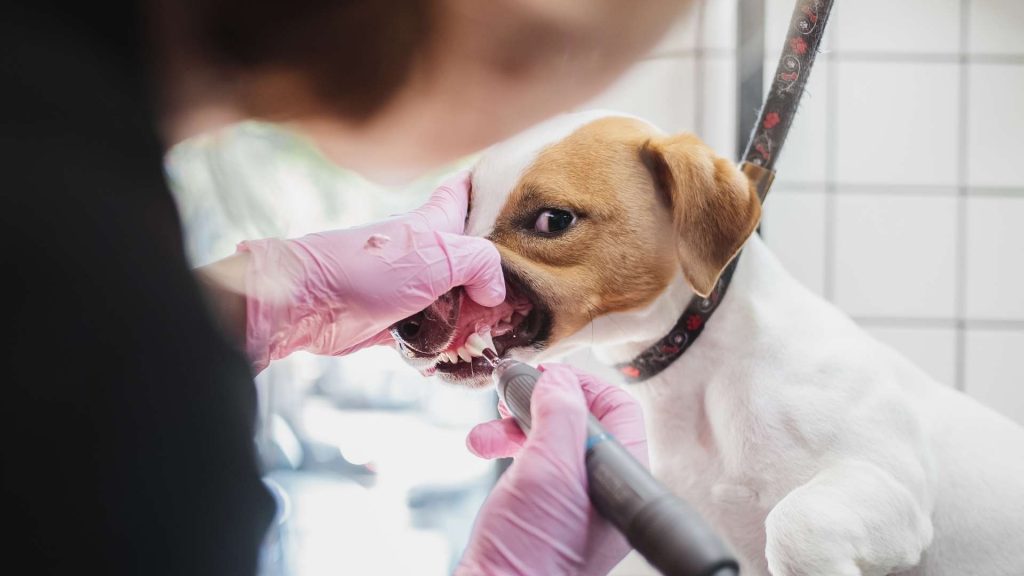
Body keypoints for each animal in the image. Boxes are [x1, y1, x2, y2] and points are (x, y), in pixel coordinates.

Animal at [389, 112, 1024, 573]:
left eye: (552, 219)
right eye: (464, 209)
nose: (405, 321)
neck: (701, 367)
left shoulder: (892, 488)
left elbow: (796, 525)